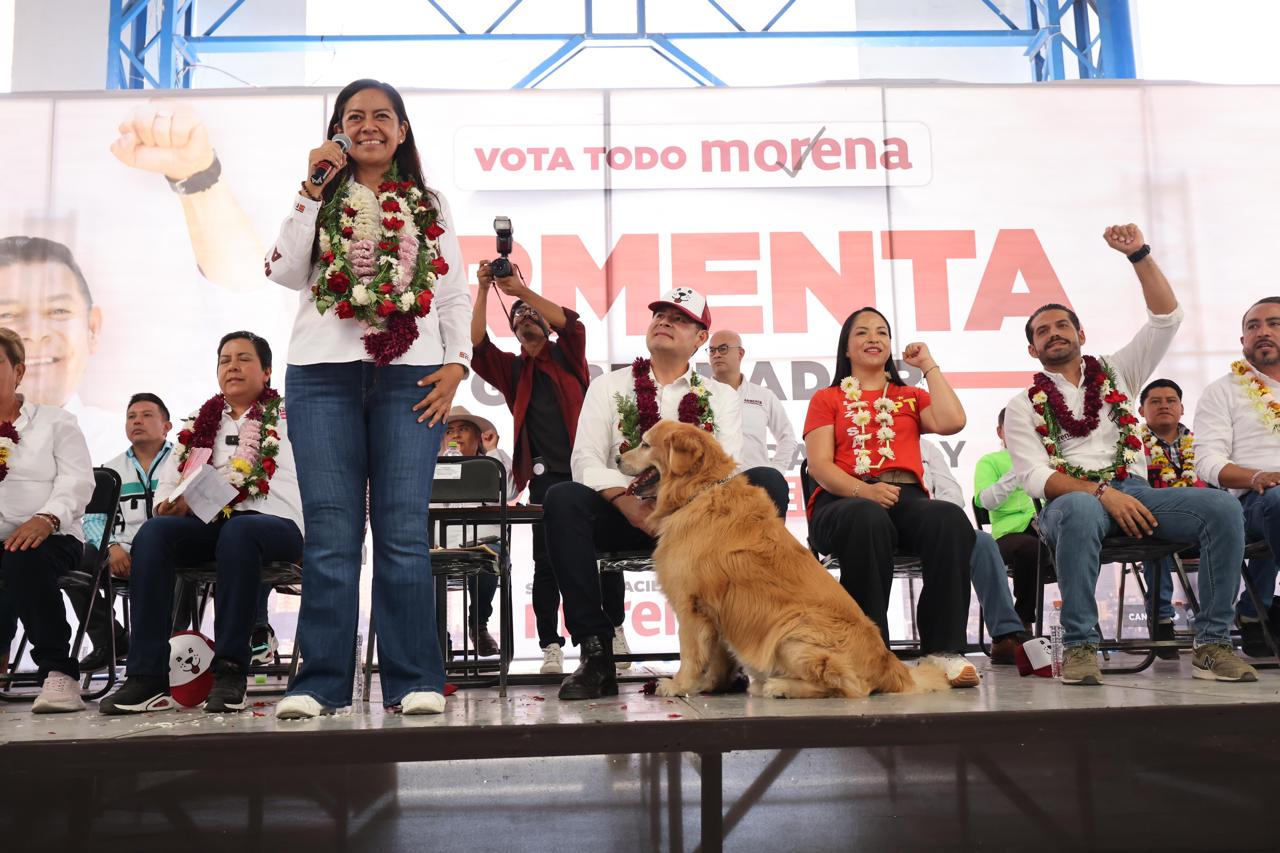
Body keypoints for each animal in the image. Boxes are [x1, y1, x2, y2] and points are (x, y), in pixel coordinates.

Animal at [619, 420, 952, 696]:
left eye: (645, 444)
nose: (618, 458)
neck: (698, 491)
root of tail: (891, 664)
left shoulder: (692, 605)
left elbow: (690, 654)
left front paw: (678, 686)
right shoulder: (719, 610)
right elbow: (717, 657)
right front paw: (710, 685)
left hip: (792, 630)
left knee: (850, 687)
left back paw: (777, 686)